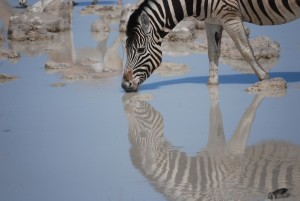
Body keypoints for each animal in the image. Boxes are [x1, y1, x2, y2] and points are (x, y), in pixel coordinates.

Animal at [121, 0, 300, 92]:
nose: (124, 85)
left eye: (140, 50)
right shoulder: (212, 19)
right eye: (126, 51)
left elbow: (245, 49)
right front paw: (212, 83)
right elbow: (213, 52)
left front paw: (264, 77)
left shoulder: (230, 15)